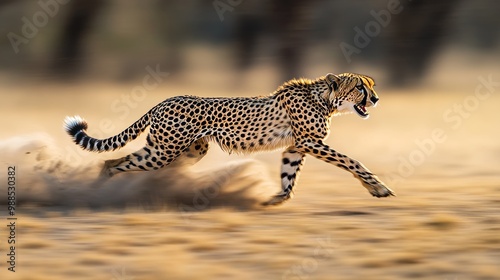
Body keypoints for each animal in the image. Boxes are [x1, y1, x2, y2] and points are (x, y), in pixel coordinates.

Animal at [64, 73, 394, 206]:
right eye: (360, 87)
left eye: (372, 86)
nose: (377, 99)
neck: (325, 98)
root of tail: (163, 100)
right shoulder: (310, 142)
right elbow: (351, 161)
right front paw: (377, 187)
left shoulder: (296, 146)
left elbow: (289, 176)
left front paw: (275, 199)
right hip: (163, 151)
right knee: (113, 162)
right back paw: (96, 193)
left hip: (185, 151)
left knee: (119, 162)